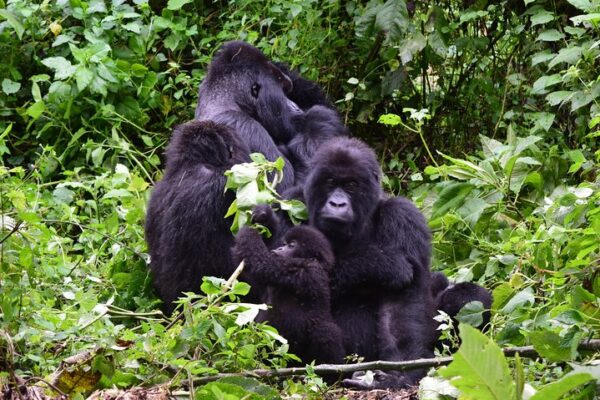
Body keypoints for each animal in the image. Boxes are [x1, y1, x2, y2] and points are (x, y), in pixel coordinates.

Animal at [233, 225, 344, 366]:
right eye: (284, 244)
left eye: (291, 245)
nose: (279, 249)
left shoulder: (301, 269)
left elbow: (262, 262)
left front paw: (249, 231)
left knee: (327, 331)